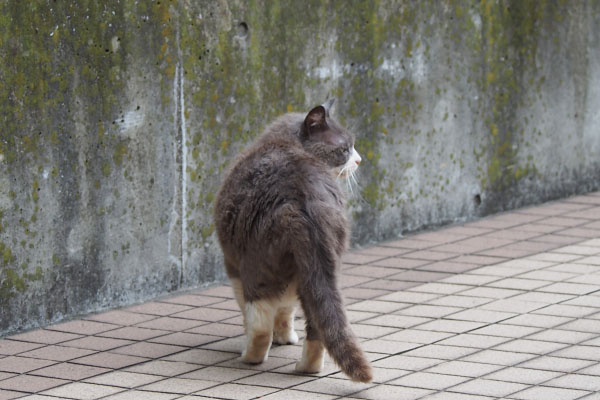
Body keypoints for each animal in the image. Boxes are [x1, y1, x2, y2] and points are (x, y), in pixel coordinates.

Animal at [213, 98, 372, 382]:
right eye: (344, 148)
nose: (359, 159)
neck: (285, 142)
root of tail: (304, 196)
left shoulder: (231, 265)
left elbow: (256, 312)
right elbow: (286, 310)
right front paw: (285, 338)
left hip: (257, 261)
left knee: (260, 322)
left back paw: (250, 357)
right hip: (318, 268)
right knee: (318, 324)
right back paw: (306, 367)